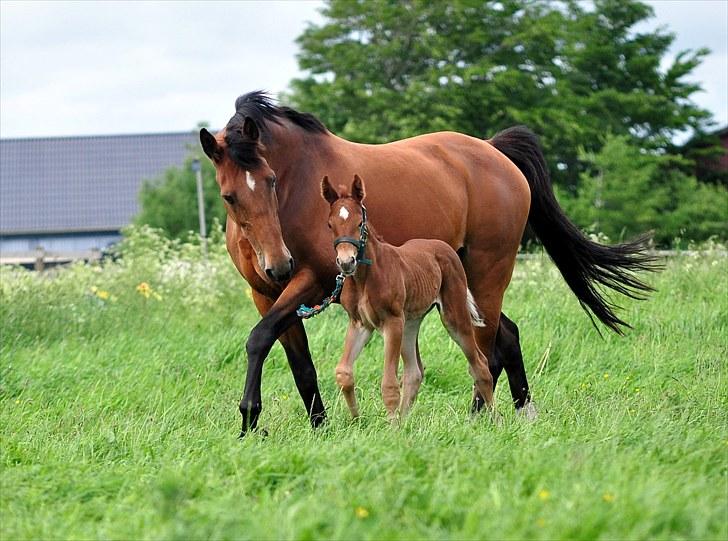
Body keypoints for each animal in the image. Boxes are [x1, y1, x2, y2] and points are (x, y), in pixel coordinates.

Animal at [322, 173, 494, 418]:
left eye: (359, 223)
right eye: (330, 224)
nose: (346, 262)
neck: (365, 279)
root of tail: (445, 248)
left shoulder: (392, 321)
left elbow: (389, 384)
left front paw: (391, 426)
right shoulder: (360, 323)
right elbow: (343, 373)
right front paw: (356, 420)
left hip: (452, 316)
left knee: (479, 364)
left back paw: (495, 418)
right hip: (410, 322)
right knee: (415, 371)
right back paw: (405, 421)